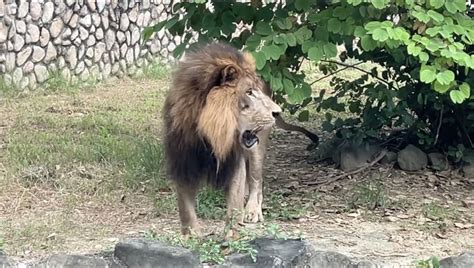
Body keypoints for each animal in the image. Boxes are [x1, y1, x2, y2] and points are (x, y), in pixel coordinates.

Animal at [162, 42, 318, 237]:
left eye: (256, 91)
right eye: (249, 92)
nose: (277, 112)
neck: (209, 135)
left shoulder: (234, 162)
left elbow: (234, 203)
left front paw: (231, 235)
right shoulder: (183, 162)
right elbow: (185, 208)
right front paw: (191, 236)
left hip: (257, 149)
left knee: (256, 181)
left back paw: (252, 211)